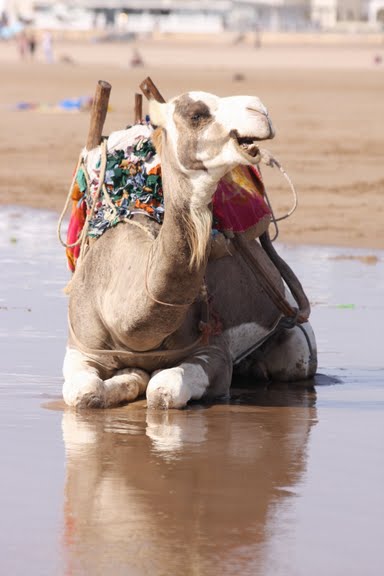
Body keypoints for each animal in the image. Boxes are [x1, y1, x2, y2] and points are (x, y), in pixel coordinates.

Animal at [62, 90, 316, 408]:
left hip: (297, 340)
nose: (260, 111)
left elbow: (163, 390)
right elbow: (85, 393)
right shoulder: (80, 348)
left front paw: (140, 377)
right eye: (196, 115)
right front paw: (130, 375)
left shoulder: (214, 352)